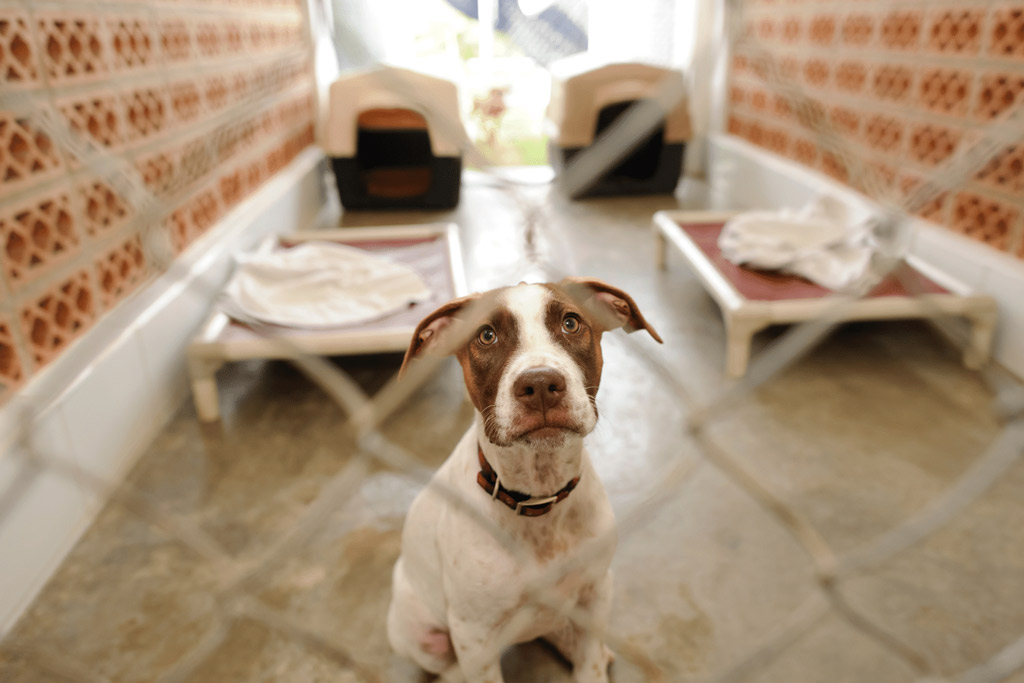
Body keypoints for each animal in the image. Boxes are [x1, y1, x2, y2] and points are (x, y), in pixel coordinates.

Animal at [385, 278, 663, 683]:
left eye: (570, 323)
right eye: (486, 335)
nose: (541, 384)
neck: (539, 497)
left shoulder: (597, 590)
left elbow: (590, 662)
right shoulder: (473, 634)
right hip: (420, 633)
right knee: (448, 668)